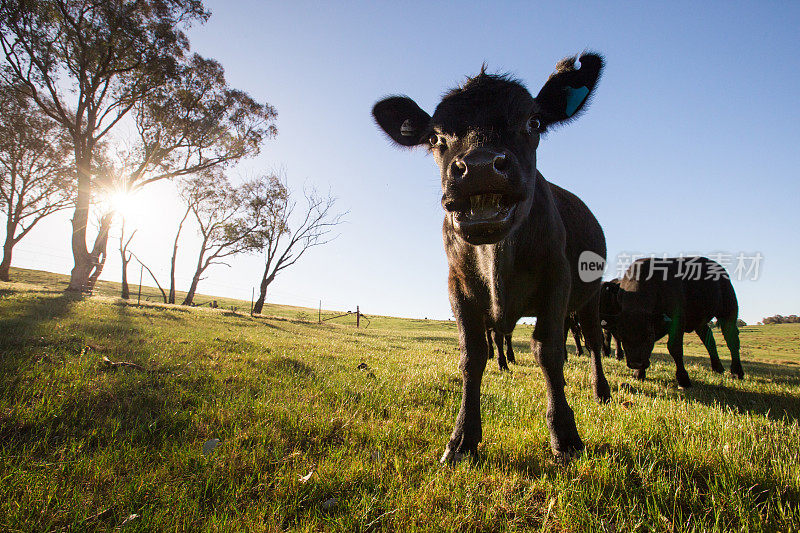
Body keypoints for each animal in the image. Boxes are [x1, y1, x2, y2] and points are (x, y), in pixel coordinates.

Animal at [608, 256, 744, 384]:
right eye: (622, 336)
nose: (636, 363)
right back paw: (717, 368)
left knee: (732, 340)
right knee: (708, 338)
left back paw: (737, 372)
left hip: (728, 311)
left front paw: (683, 378)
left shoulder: (677, 322)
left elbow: (674, 348)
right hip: (700, 321)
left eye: (649, 336)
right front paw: (638, 373)